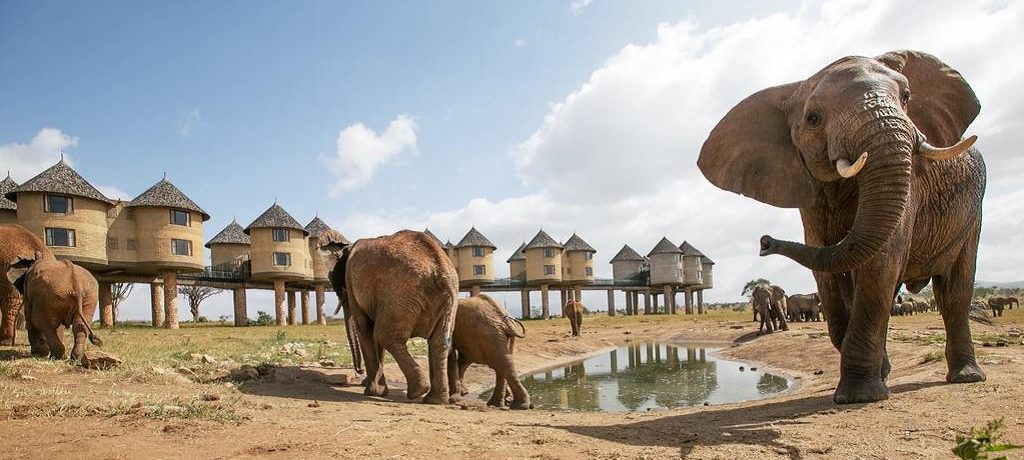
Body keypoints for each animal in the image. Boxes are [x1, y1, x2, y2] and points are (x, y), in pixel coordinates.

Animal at [323, 229, 460, 401]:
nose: (359, 372)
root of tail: (440, 267)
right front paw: (372, 386)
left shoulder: (351, 281)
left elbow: (364, 328)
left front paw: (372, 391)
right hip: (447, 301)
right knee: (439, 342)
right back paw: (434, 400)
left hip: (399, 295)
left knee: (384, 335)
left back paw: (417, 391)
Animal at [700, 49, 987, 401]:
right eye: (814, 119)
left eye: (906, 97)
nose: (764, 242)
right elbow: (829, 274)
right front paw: (876, 379)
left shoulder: (912, 187)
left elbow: (880, 264)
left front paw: (860, 396)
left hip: (973, 214)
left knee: (954, 292)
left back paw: (966, 377)